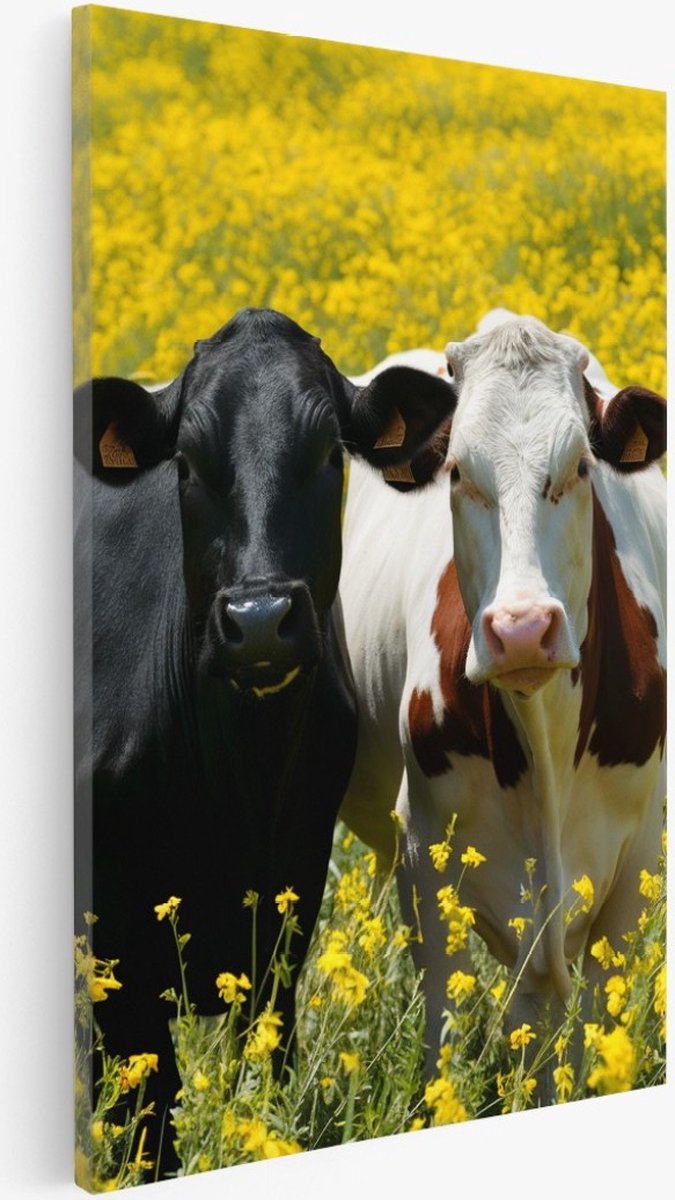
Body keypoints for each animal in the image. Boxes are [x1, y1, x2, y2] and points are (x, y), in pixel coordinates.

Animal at [73, 306, 455, 1174]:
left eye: (328, 453)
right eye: (185, 460)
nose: (256, 621)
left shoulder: (287, 912)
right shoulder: (117, 961)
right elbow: (151, 1113)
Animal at [339, 311, 666, 1085]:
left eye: (579, 468)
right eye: (459, 472)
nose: (520, 629)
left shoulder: (638, 861)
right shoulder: (424, 853)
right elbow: (445, 1037)